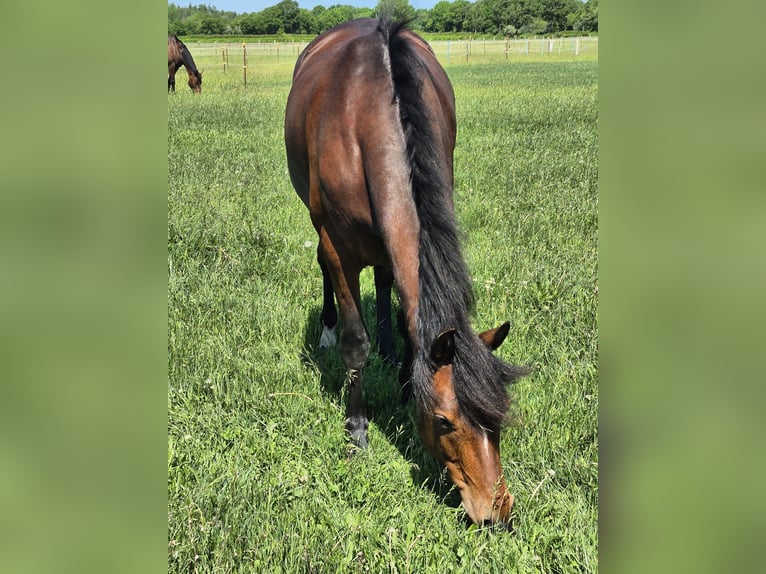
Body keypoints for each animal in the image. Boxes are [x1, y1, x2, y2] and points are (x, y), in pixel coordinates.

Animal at [284, 18, 529, 527]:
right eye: (443, 421)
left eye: (498, 414)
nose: (496, 511)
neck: (370, 119)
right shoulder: (338, 247)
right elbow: (355, 343)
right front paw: (357, 429)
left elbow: (404, 310)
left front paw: (402, 377)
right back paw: (329, 330)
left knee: (383, 278)